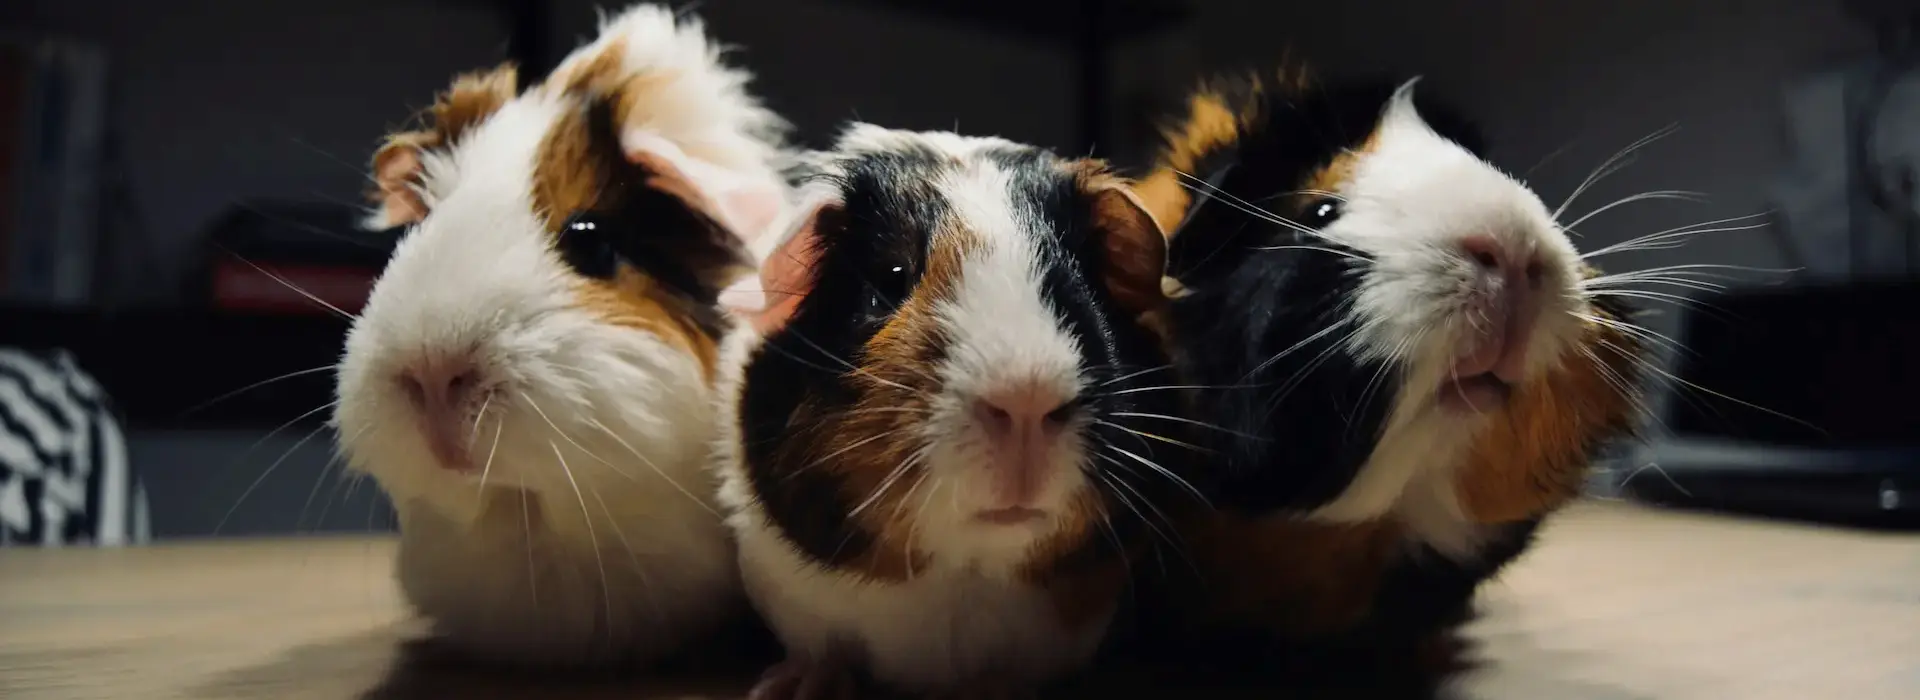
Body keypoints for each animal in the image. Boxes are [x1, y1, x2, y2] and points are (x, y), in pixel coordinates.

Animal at [710, 125, 1187, 698]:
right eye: (891, 279)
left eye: (1081, 286)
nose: (1026, 396)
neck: (966, 576)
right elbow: (823, 649)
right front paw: (792, 688)